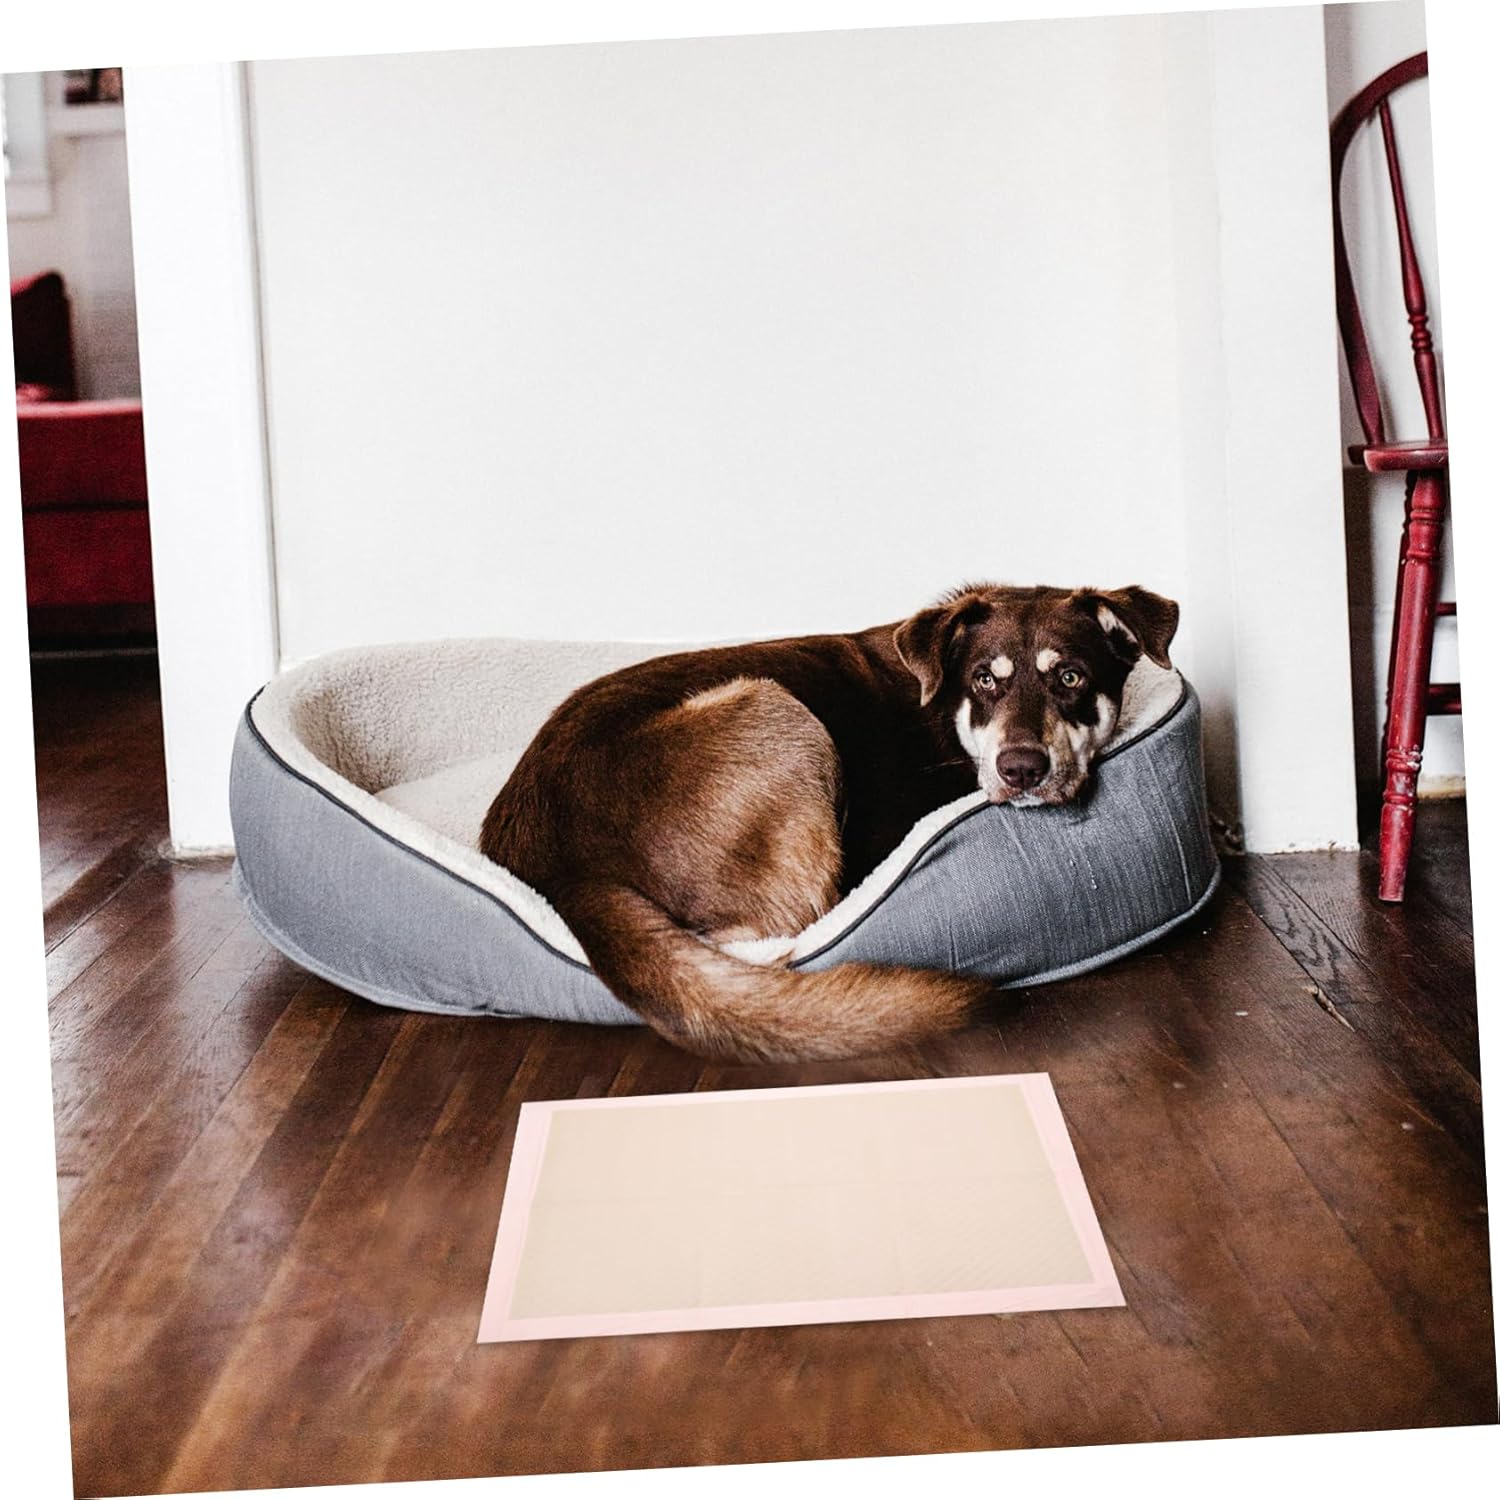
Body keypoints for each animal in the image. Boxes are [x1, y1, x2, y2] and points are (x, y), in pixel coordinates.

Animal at [480, 583, 1178, 1062]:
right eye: (985, 679)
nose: (1022, 769)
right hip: (776, 708)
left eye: (1071, 676)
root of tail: (561, 873)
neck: (944, 710)